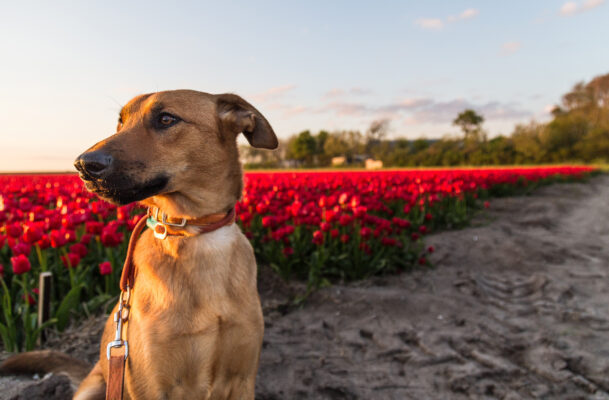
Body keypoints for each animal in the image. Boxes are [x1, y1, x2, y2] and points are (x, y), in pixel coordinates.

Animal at [1, 89, 276, 398]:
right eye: (120, 123)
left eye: (166, 119)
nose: (83, 165)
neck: (194, 232)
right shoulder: (152, 386)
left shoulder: (242, 379)